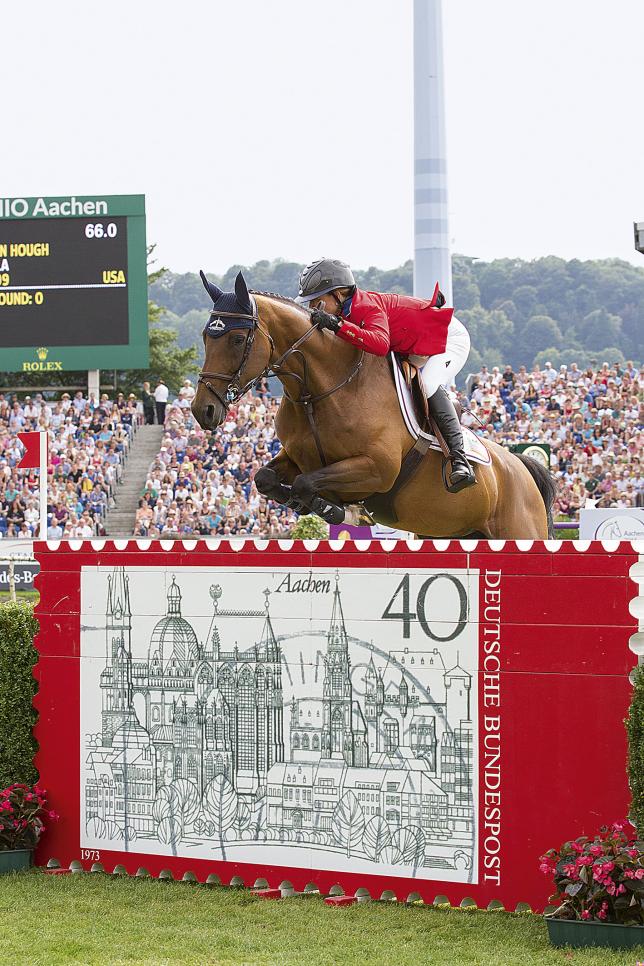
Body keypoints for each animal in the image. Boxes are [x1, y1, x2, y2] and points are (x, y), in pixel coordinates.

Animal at [190, 272, 552, 540]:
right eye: (206, 337)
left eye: (238, 339)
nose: (202, 409)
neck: (321, 391)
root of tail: (520, 466)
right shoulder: (298, 458)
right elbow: (265, 478)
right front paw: (319, 505)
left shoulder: (377, 468)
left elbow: (307, 484)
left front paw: (336, 509)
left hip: (520, 531)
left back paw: (461, 469)